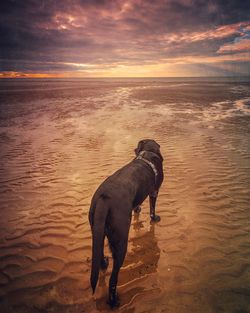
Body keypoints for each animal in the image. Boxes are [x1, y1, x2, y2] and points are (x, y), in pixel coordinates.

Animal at [88, 139, 164, 308]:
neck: (147, 154)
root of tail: (104, 199)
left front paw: (138, 210)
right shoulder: (154, 191)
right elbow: (152, 208)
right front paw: (154, 218)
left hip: (98, 230)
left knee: (100, 255)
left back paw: (104, 263)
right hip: (121, 240)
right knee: (113, 279)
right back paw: (113, 301)